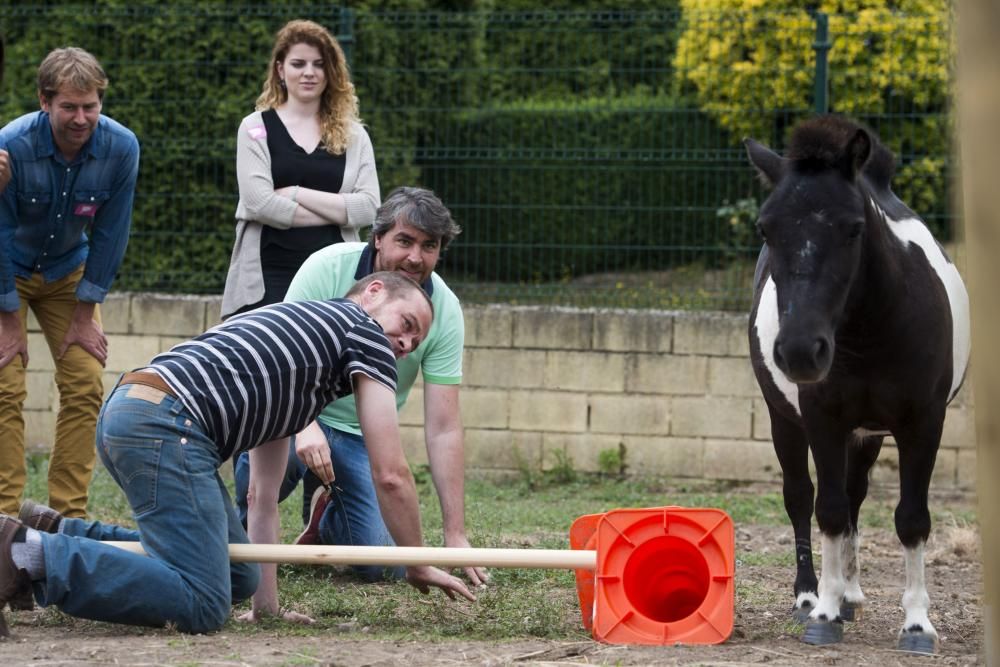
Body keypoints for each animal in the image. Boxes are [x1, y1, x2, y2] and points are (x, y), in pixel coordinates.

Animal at [744, 115, 968, 652]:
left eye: (854, 228)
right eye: (766, 228)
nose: (800, 351)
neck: (871, 329)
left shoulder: (922, 423)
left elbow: (910, 518)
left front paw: (917, 625)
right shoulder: (822, 420)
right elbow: (826, 508)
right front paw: (823, 615)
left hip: (866, 435)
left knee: (856, 495)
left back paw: (850, 593)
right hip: (785, 420)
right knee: (802, 496)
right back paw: (811, 595)